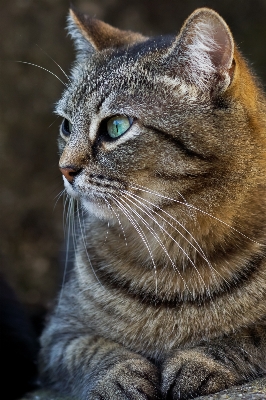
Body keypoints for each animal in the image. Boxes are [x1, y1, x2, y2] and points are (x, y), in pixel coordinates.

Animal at [39, 6, 266, 400]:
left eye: (116, 126)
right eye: (67, 126)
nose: (64, 169)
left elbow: (248, 336)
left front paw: (199, 360)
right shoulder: (58, 332)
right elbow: (89, 349)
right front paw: (119, 375)